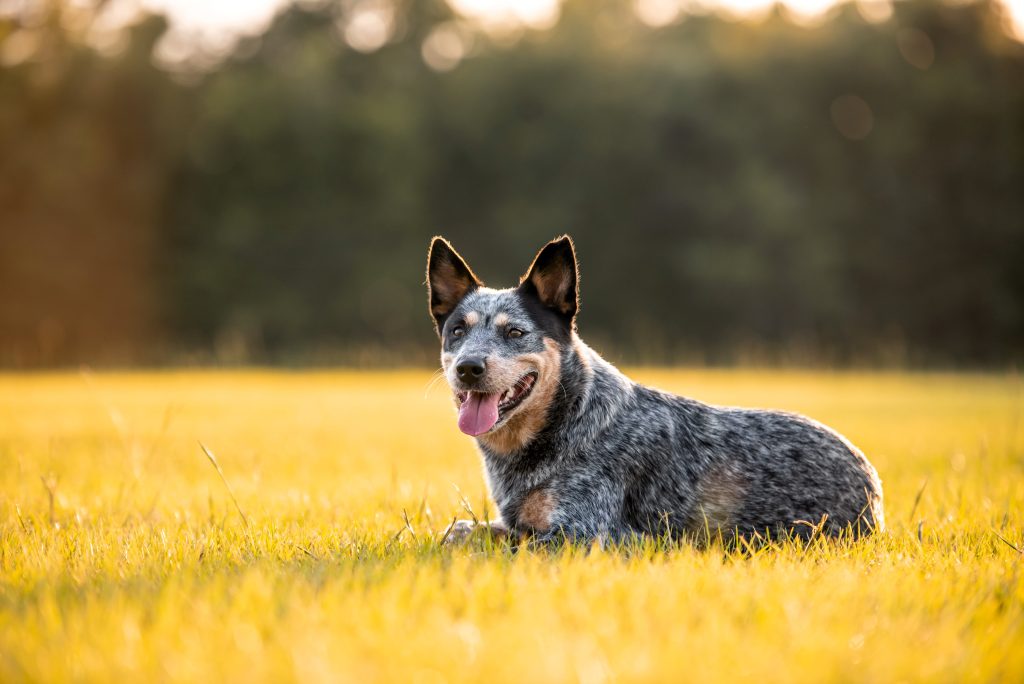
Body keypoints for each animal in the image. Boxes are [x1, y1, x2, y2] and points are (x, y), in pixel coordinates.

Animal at [428, 235, 884, 544]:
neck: (570, 420)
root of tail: (870, 478)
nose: (468, 368)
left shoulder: (585, 535)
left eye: (516, 332)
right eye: (457, 331)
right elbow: (459, 530)